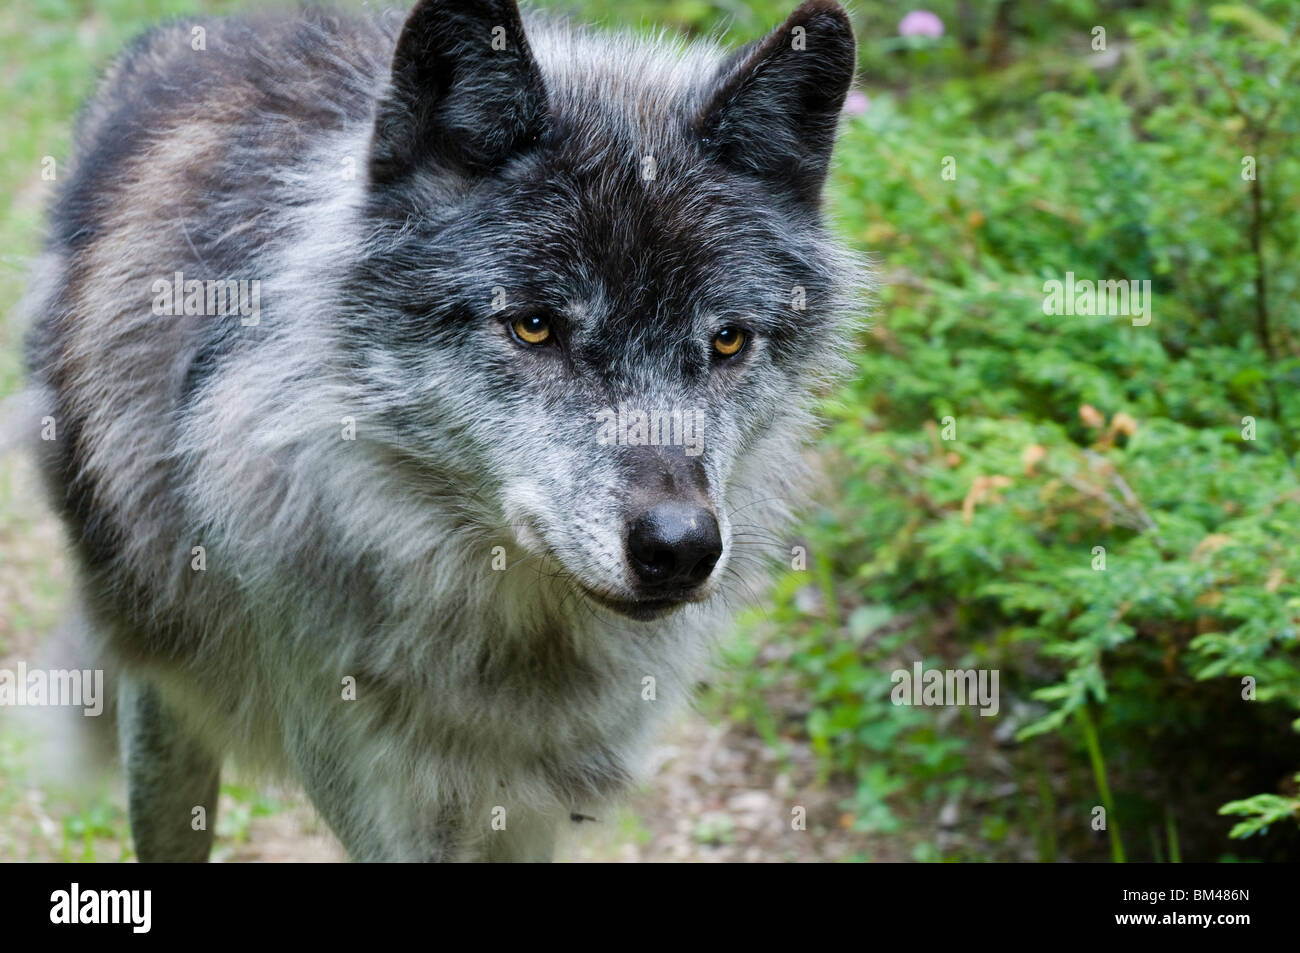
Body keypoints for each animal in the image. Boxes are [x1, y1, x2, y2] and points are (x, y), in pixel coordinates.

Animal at [20, 0, 863, 858]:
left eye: (726, 340)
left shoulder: (532, 811)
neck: (514, 651)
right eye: (533, 326)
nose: (681, 546)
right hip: (162, 722)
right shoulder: (380, 801)